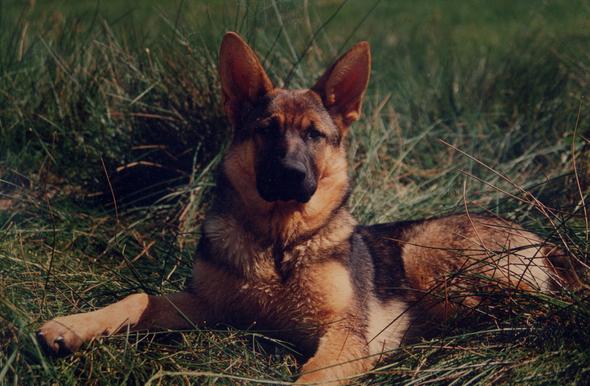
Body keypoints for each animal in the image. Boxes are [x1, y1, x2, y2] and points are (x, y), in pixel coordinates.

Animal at [38, 32, 584, 382]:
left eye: (315, 135)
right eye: (268, 130)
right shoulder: (207, 306)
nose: (292, 177)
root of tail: (545, 242)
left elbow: (313, 374)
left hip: (424, 253)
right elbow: (137, 299)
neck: (279, 243)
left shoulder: (343, 334)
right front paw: (72, 327)